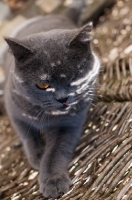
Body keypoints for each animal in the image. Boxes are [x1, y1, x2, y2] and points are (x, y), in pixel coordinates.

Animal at [2, 0, 99, 199]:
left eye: (74, 78)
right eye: (43, 85)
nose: (62, 98)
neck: (45, 114)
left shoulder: (69, 124)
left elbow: (55, 152)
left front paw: (53, 181)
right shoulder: (13, 108)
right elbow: (27, 134)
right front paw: (37, 155)